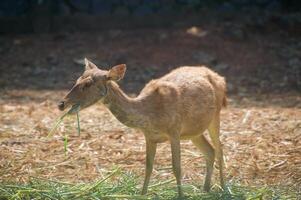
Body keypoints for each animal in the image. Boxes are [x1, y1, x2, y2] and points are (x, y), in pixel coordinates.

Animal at [58, 57, 225, 197]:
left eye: (88, 84)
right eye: (77, 79)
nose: (62, 103)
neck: (150, 115)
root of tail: (220, 78)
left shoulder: (174, 131)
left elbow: (176, 167)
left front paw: (181, 196)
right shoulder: (149, 136)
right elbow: (148, 167)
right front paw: (143, 194)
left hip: (216, 115)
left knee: (219, 149)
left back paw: (224, 188)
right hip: (194, 132)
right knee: (210, 151)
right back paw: (205, 189)